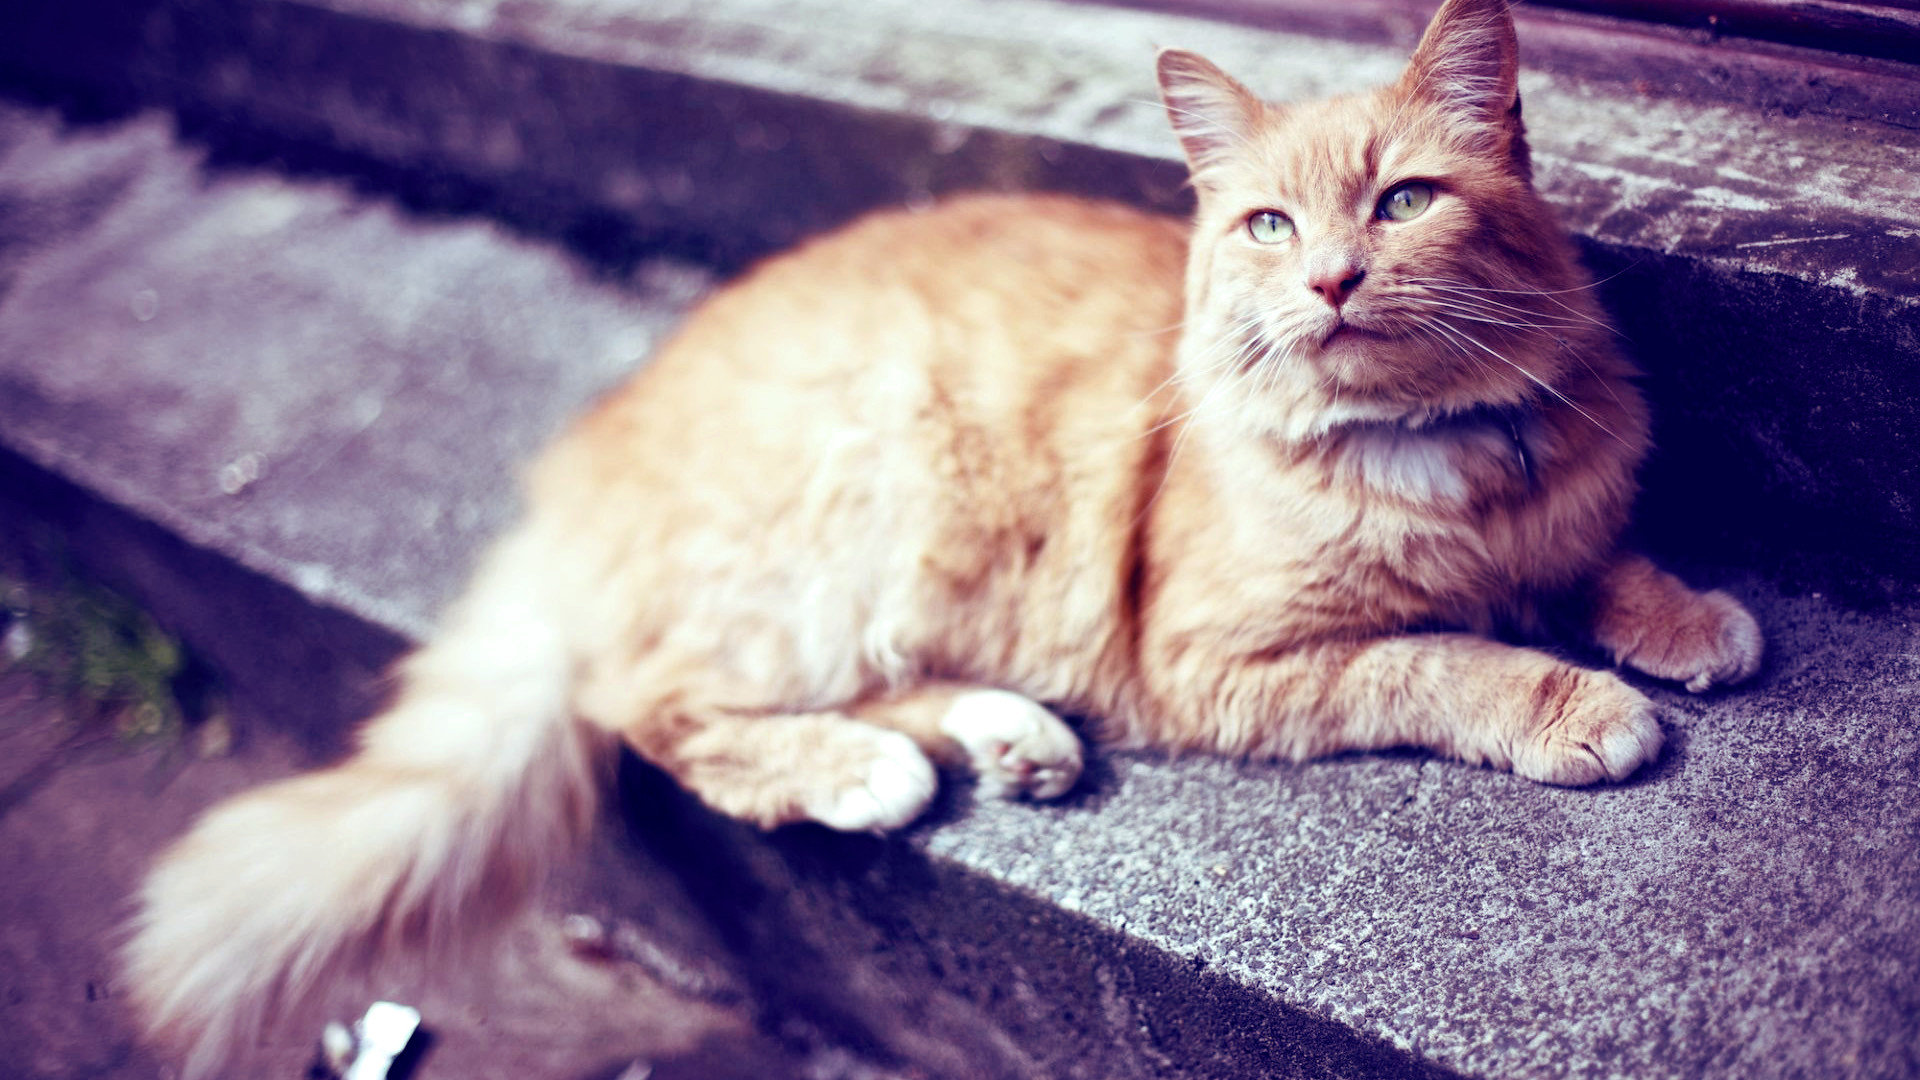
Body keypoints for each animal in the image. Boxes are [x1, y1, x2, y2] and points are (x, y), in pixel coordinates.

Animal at [127, 2, 1758, 1068]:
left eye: (1405, 201)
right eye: (1269, 228)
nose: (1334, 282)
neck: (1439, 460)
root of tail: (598, 434)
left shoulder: (1556, 509)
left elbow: (1600, 558)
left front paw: (1684, 618)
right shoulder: (1219, 659)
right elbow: (1445, 659)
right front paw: (1576, 701)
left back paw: (1008, 739)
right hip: (867, 506)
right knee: (659, 708)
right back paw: (870, 770)